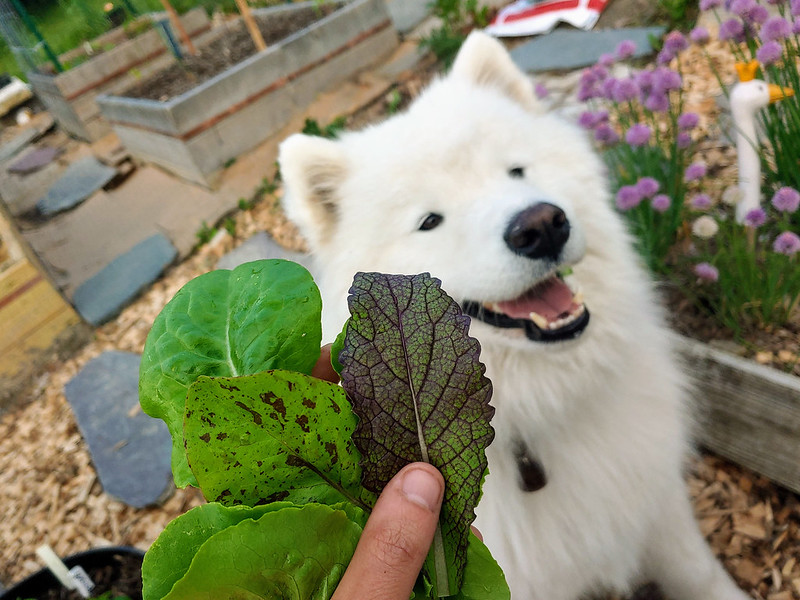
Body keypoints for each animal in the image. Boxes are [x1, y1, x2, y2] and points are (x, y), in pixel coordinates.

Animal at [276, 32, 752, 600]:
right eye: (429, 221)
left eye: (516, 171)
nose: (541, 225)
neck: (543, 405)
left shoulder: (657, 504)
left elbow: (701, 571)